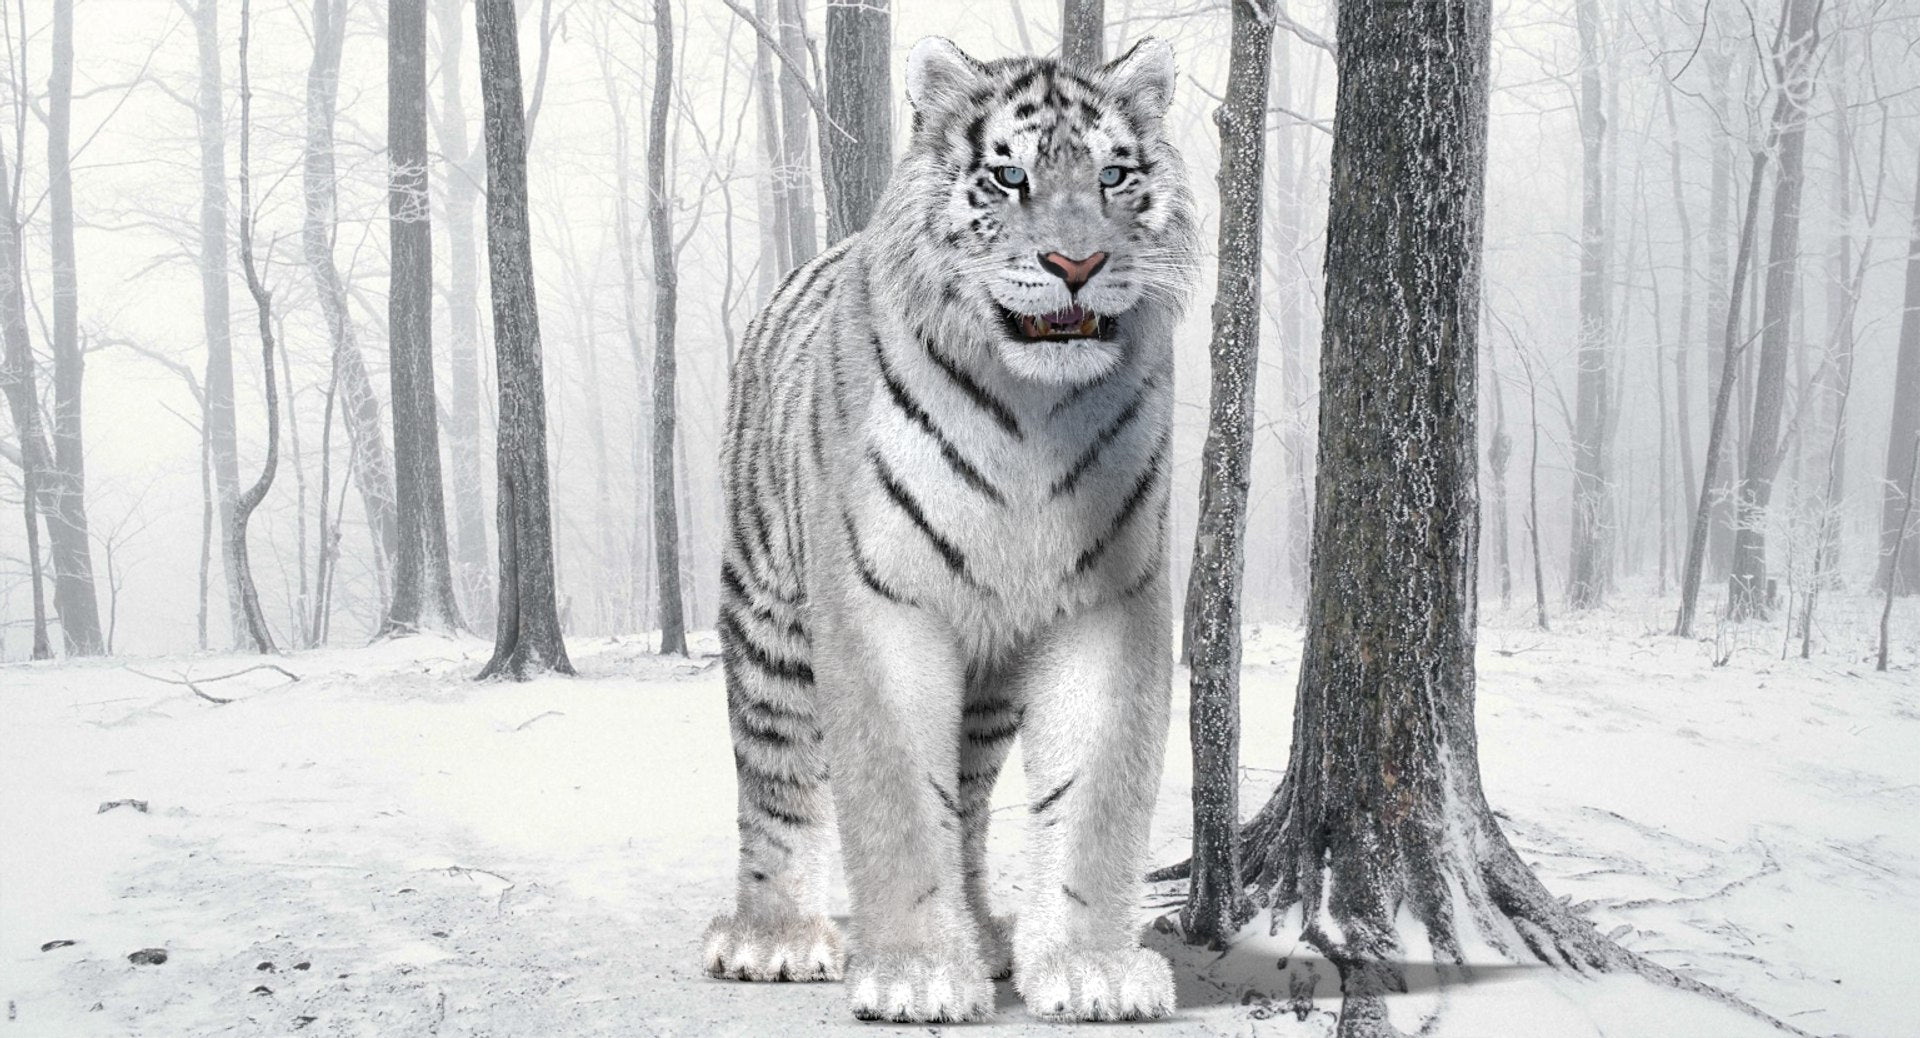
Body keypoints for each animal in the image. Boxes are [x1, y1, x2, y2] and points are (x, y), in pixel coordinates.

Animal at [699, 35, 1198, 1023]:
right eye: (1008, 177)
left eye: (1115, 175)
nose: (1077, 262)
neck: (1033, 411)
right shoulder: (878, 600)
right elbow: (893, 795)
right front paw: (917, 974)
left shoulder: (1110, 599)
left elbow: (1095, 795)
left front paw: (1090, 968)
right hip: (767, 621)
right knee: (775, 779)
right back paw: (773, 939)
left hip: (992, 678)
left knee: (964, 801)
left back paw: (986, 938)